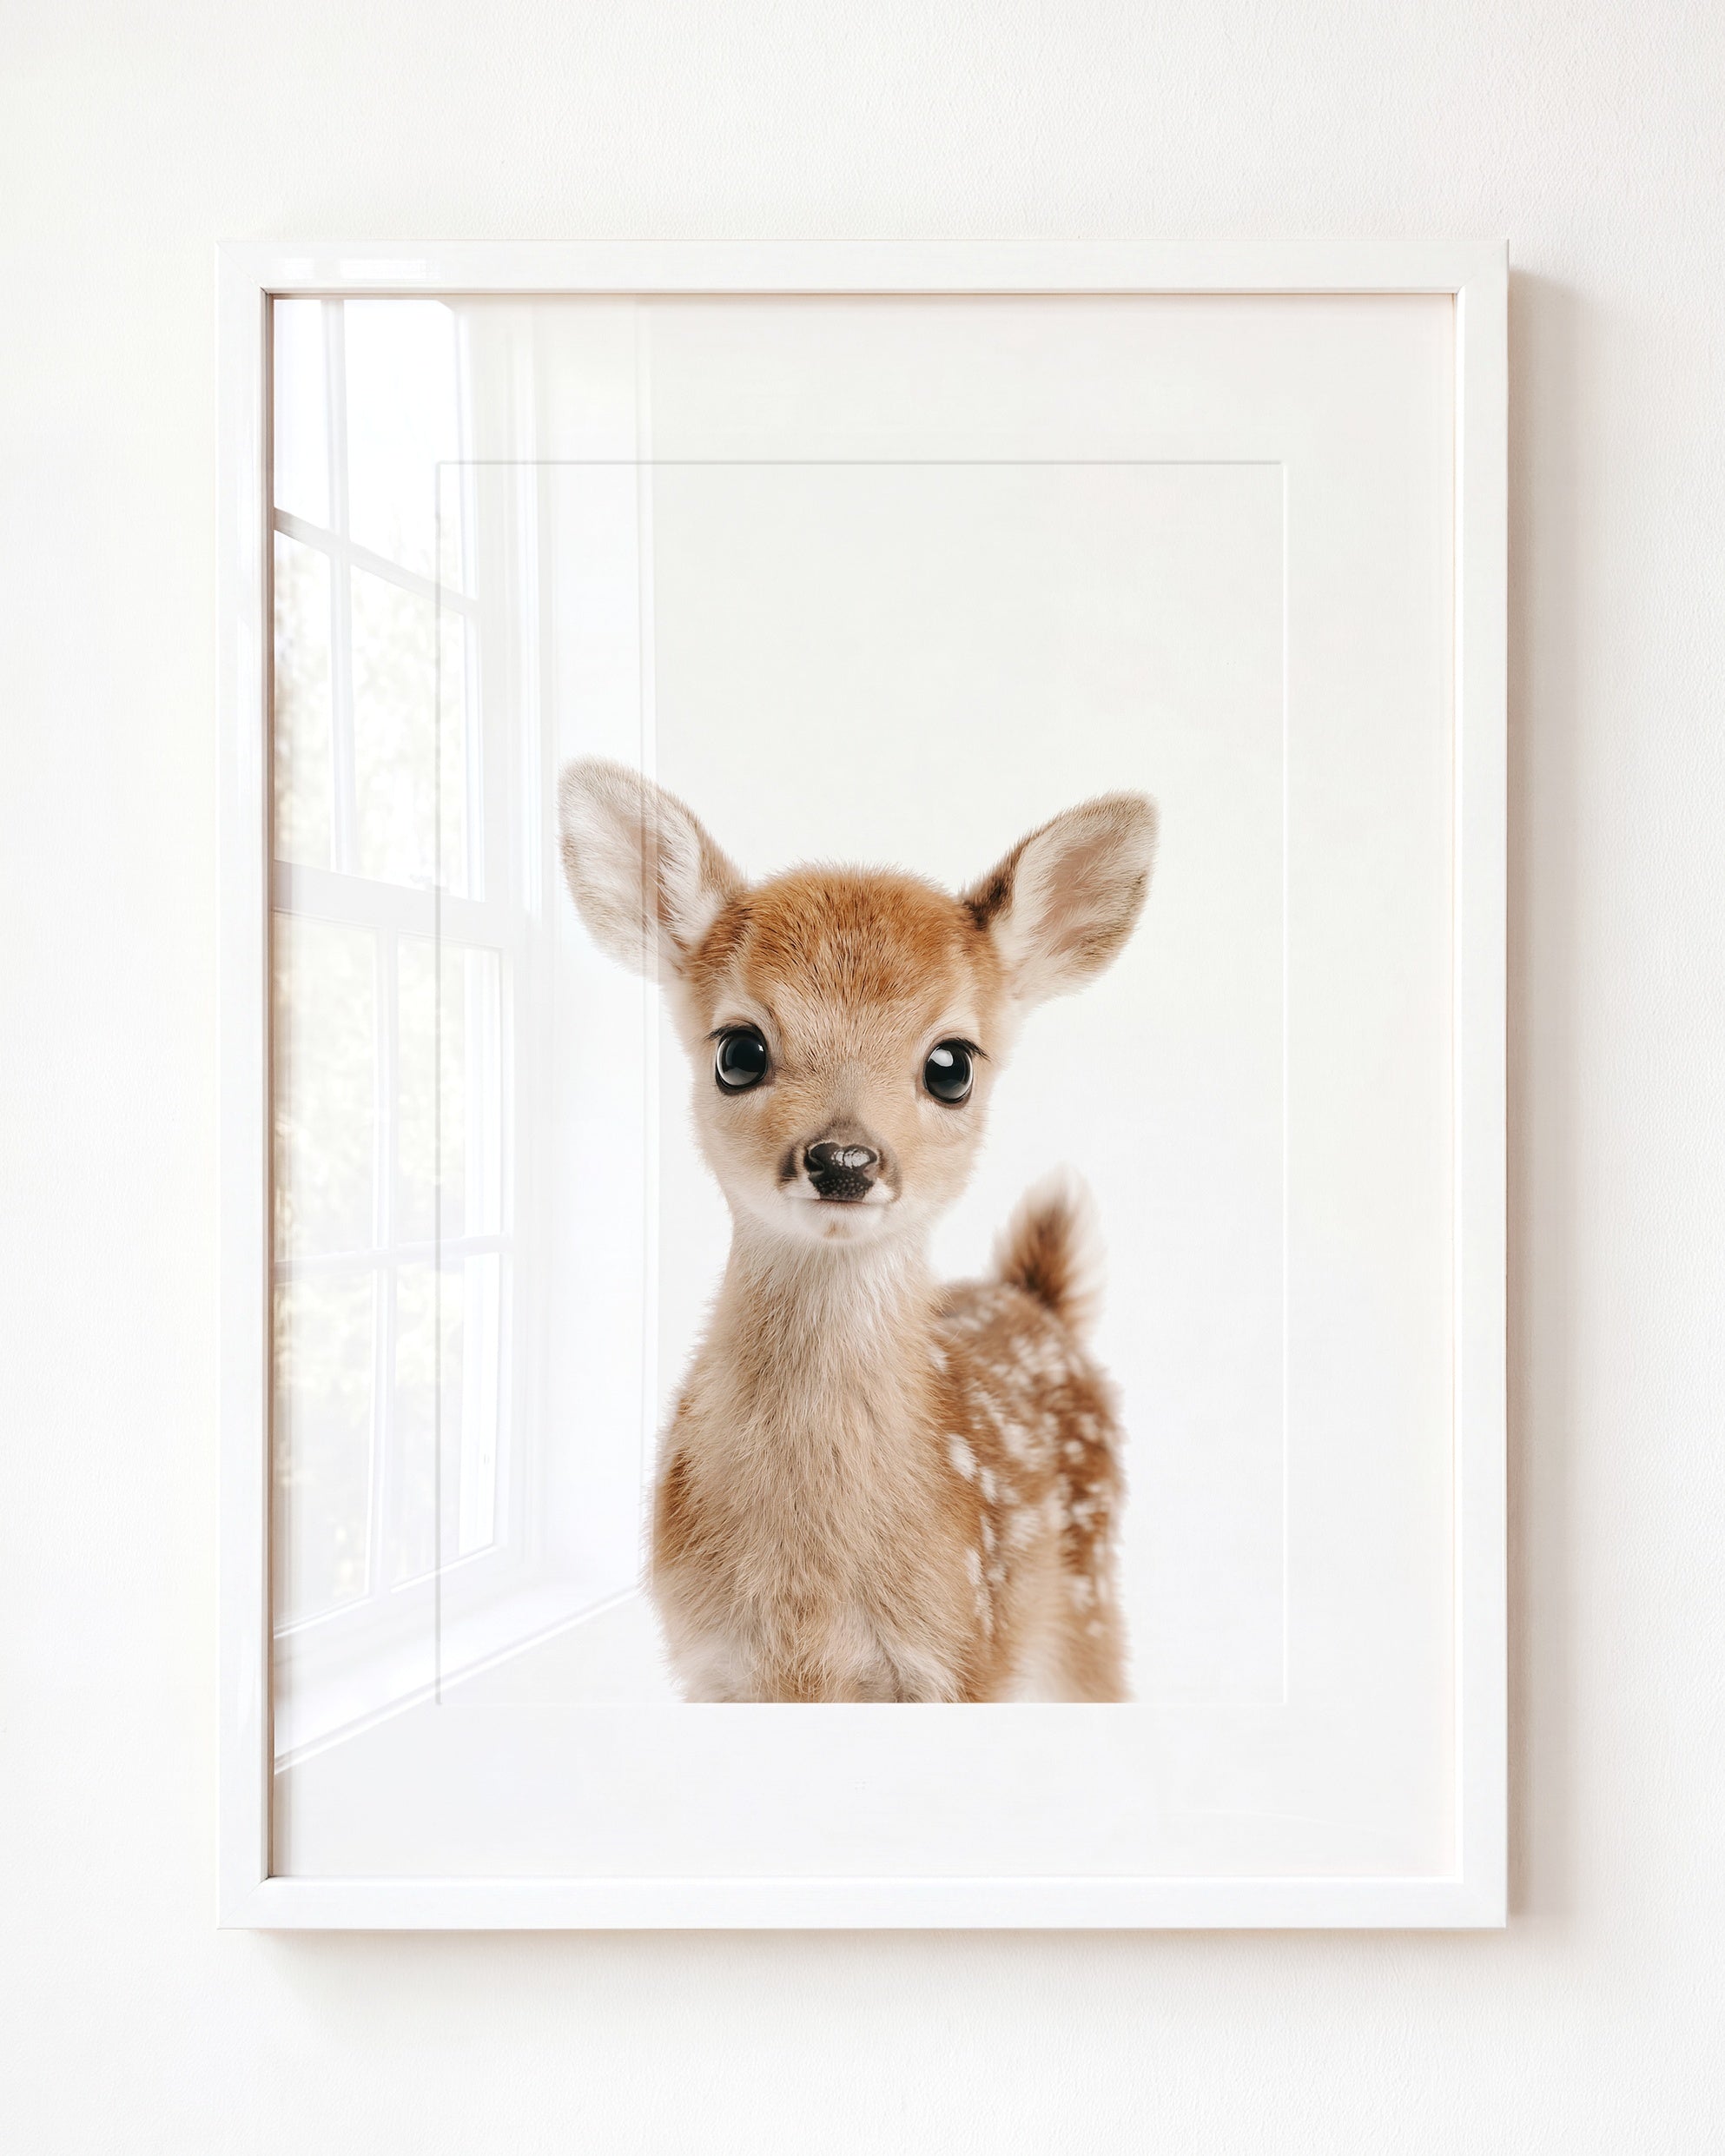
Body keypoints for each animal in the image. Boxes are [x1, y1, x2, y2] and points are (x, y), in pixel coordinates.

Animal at [557, 759, 1157, 1702]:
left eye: (951, 1065)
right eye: (738, 1051)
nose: (843, 1158)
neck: (811, 1603)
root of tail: (1037, 1299)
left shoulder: (961, 1652)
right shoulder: (711, 1664)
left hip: (1086, 1603)